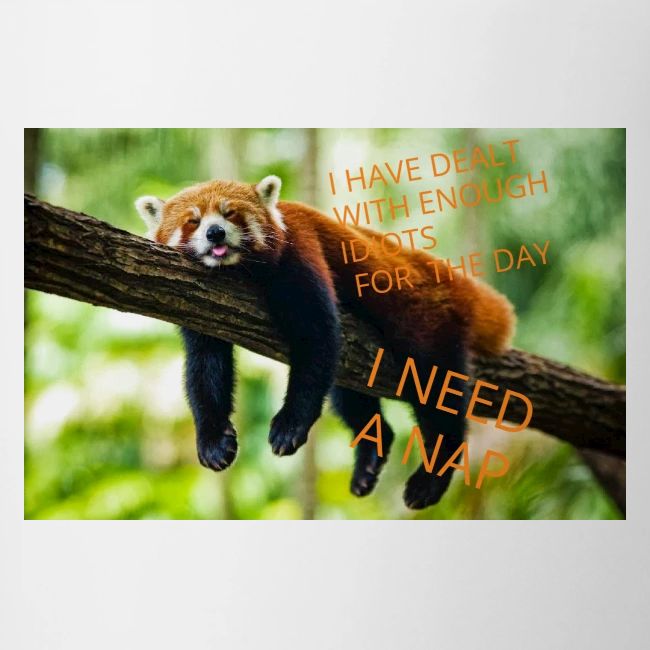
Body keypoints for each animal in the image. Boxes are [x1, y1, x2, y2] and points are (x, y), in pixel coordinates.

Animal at [135, 175, 515, 509]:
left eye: (230, 214)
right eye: (193, 221)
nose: (215, 232)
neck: (238, 271)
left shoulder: (300, 252)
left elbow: (316, 340)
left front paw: (290, 425)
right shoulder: (200, 304)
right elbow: (205, 367)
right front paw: (213, 441)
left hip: (426, 322)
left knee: (435, 391)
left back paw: (431, 477)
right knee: (349, 396)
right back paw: (369, 458)